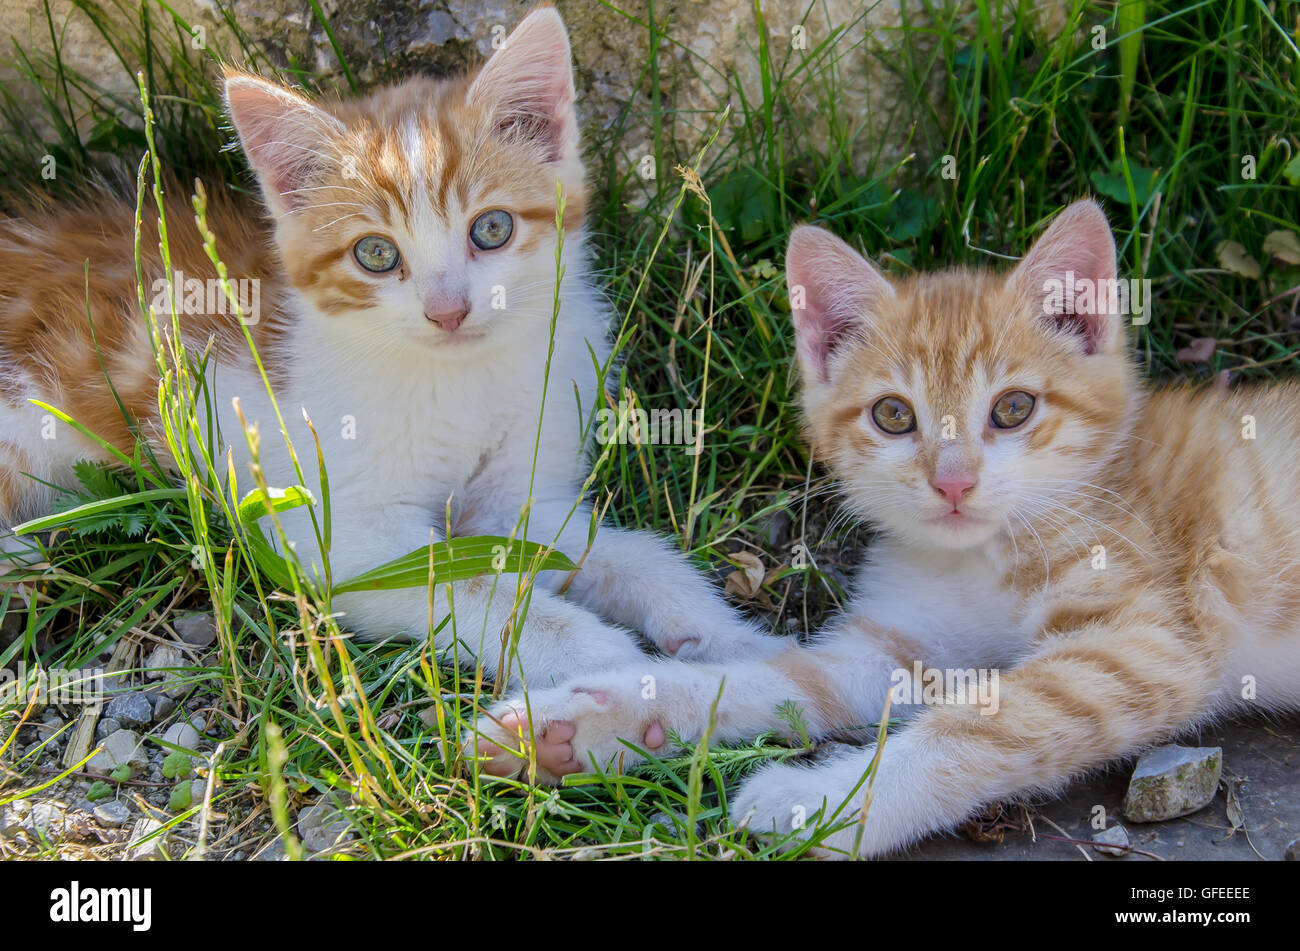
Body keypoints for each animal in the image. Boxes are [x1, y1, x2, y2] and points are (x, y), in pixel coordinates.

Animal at [0, 9, 769, 691]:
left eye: (491, 229)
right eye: (375, 254)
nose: (448, 309)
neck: (458, 380)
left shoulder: (516, 494)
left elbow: (614, 550)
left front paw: (718, 629)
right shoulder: (325, 528)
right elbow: (470, 587)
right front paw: (604, 658)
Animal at [475, 198, 1300, 852]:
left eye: (1014, 408)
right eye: (894, 416)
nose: (954, 480)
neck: (984, 553)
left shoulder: (1144, 643)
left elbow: (978, 726)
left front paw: (820, 801)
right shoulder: (902, 647)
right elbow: (778, 677)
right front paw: (587, 720)